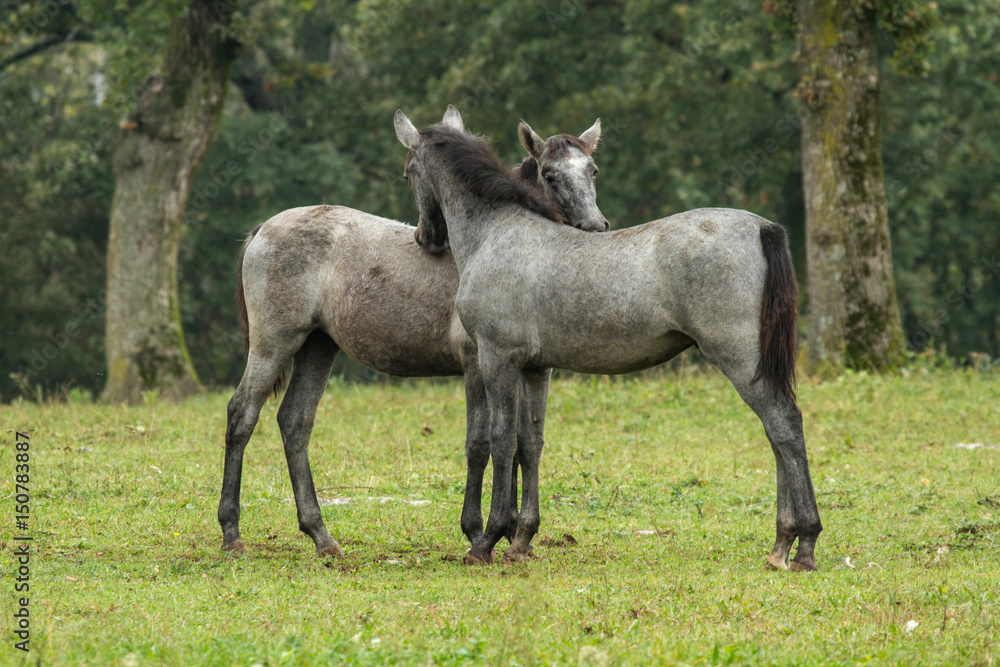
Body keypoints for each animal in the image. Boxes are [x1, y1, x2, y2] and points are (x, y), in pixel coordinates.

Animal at [221, 108, 608, 560]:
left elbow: (523, 442)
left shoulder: (528, 367)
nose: (594, 228)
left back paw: (322, 536)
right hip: (273, 345)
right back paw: (232, 532)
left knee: (295, 422)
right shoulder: (478, 364)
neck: (491, 240)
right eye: (549, 174)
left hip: (319, 347)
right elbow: (482, 444)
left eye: (592, 170)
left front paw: (515, 534)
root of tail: (263, 228)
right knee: (242, 414)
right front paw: (478, 531)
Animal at [394, 112, 824, 572]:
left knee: (784, 426)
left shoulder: (496, 360)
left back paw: (804, 544)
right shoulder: (534, 368)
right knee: (776, 435)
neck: (498, 233)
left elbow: (501, 442)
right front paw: (521, 539)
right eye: (550, 174)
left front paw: (488, 539)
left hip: (740, 360)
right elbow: (530, 444)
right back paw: (782, 545)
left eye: (408, 173)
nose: (425, 238)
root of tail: (761, 226)